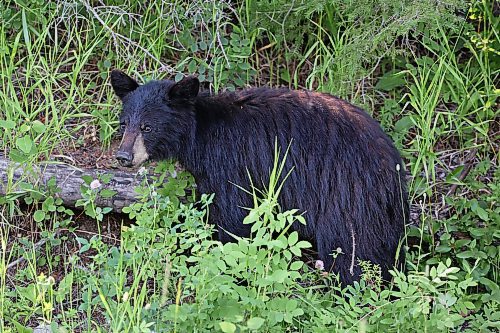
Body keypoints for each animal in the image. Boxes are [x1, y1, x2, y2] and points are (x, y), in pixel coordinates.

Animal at [111, 69, 408, 282]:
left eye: (147, 127)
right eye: (124, 124)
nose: (123, 156)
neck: (200, 134)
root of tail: (392, 165)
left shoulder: (231, 162)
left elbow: (231, 218)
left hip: (347, 196)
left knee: (351, 250)